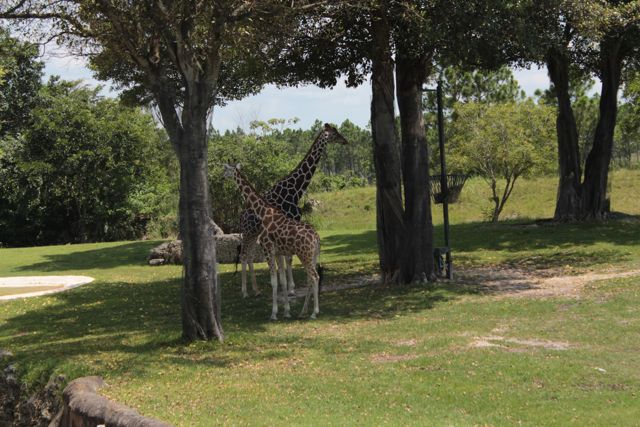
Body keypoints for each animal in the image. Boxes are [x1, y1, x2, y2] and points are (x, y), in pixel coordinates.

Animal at [225, 164, 324, 320]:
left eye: (226, 169)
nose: (223, 176)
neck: (264, 213)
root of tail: (317, 238)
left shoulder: (268, 250)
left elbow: (274, 281)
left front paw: (273, 313)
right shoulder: (278, 252)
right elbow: (282, 280)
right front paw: (287, 312)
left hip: (304, 255)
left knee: (314, 277)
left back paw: (314, 312)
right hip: (311, 256)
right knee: (310, 278)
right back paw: (303, 311)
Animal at [238, 123, 344, 298]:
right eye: (335, 133)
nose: (345, 140)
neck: (295, 190)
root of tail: (241, 216)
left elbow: (287, 257)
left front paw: (288, 287)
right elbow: (287, 257)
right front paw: (290, 288)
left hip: (253, 233)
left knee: (250, 256)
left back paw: (256, 290)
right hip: (247, 232)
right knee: (244, 255)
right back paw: (245, 292)